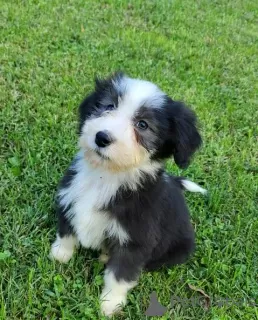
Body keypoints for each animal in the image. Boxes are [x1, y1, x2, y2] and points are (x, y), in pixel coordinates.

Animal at [49, 73, 207, 318]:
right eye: (109, 106)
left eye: (143, 125)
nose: (101, 137)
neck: (107, 177)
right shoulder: (69, 199)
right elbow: (66, 232)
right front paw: (60, 254)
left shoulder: (136, 240)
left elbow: (120, 275)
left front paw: (109, 304)